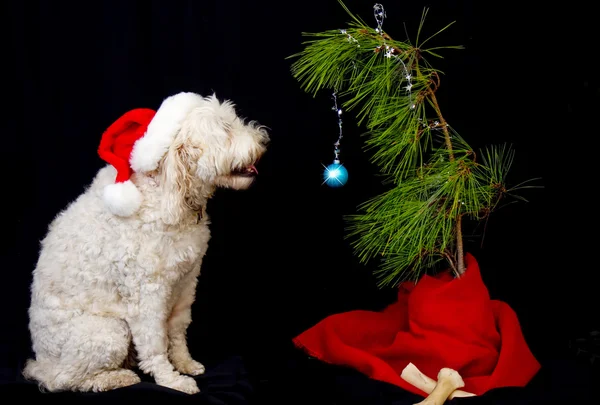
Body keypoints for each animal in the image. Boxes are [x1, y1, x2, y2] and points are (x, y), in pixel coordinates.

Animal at [21, 90, 270, 392]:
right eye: (225, 129)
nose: (264, 139)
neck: (165, 193)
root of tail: (41, 362)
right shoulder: (148, 293)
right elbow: (154, 343)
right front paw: (171, 380)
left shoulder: (186, 281)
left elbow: (177, 329)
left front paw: (185, 363)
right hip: (107, 332)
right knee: (65, 379)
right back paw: (116, 377)